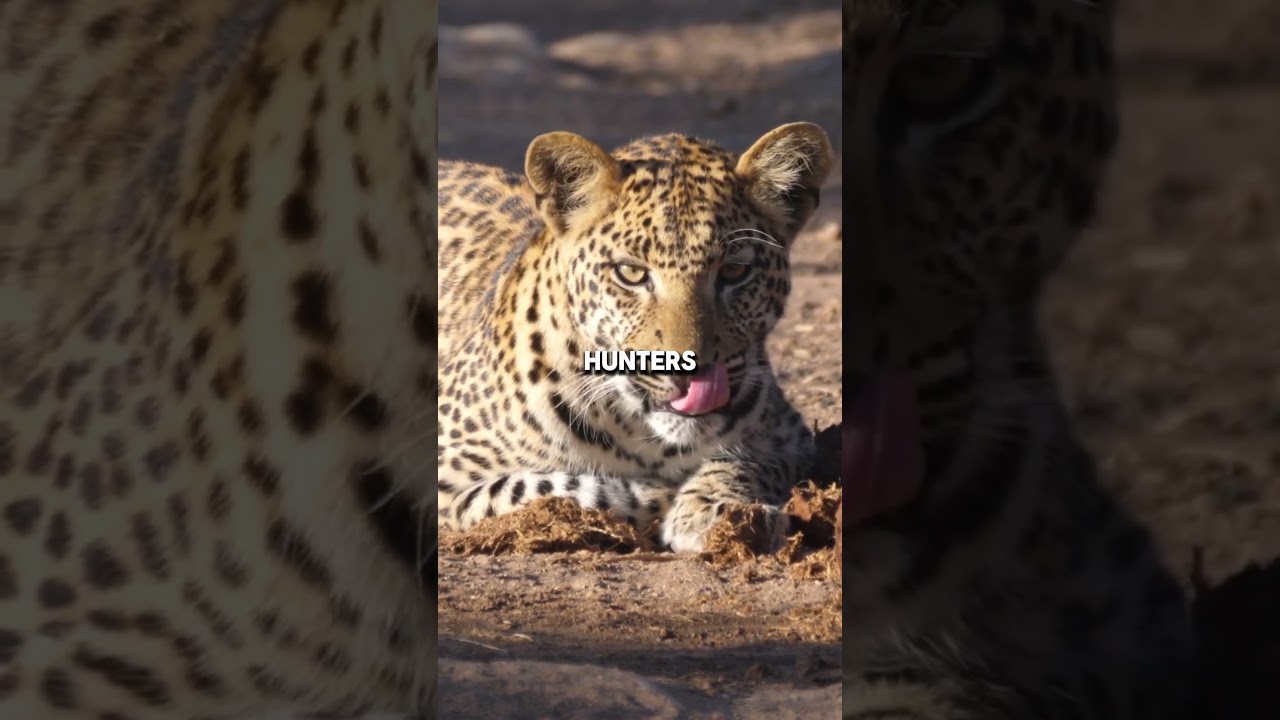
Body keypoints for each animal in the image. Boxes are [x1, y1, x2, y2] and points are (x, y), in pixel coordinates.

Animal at [436, 123, 834, 553]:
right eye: (630, 273)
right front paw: (656, 495)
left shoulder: (789, 438)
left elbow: (744, 462)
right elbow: (539, 488)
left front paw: (722, 513)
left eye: (734, 272)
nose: (691, 375)